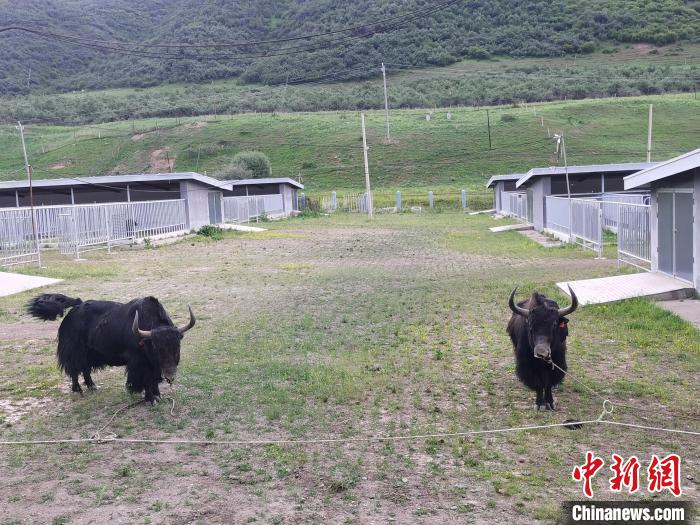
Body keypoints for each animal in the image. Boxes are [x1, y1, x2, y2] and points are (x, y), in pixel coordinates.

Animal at [26, 293, 195, 404]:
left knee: (85, 369)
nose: (170, 376)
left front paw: (158, 395)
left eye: (177, 345)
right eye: (156, 347)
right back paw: (78, 390)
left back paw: (92, 386)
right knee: (74, 369)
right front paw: (151, 399)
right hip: (75, 350)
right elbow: (146, 379)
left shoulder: (153, 364)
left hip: (89, 352)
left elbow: (154, 379)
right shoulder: (140, 363)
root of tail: (76, 306)